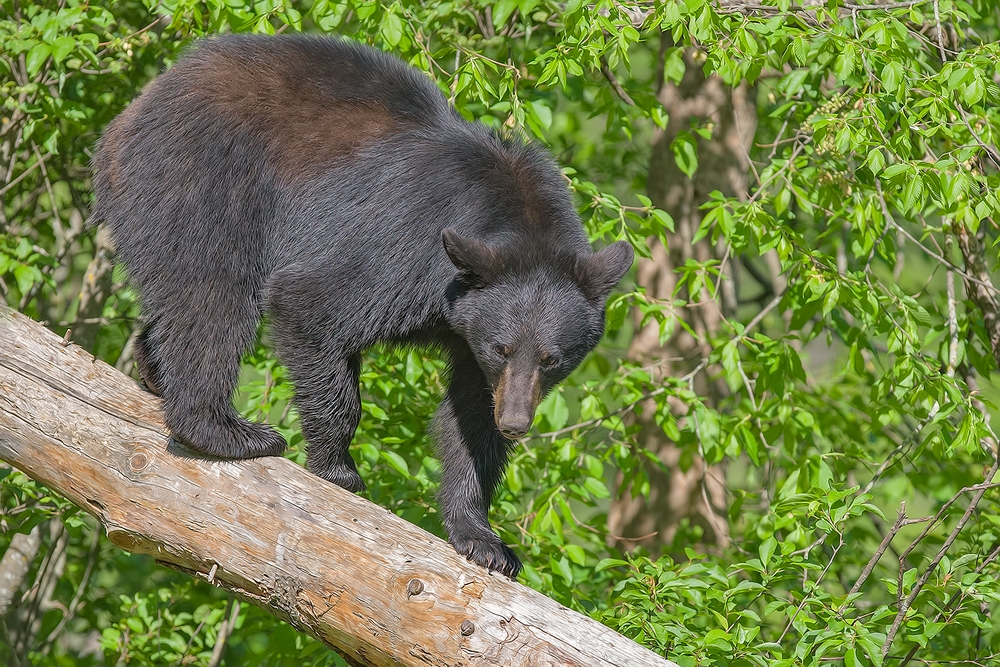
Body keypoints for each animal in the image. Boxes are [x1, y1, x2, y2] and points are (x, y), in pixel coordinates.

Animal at [92, 35, 624, 580]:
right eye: (503, 347)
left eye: (552, 358)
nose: (516, 421)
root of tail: (132, 115)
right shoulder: (405, 248)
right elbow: (310, 304)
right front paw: (338, 469)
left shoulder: (471, 332)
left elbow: (470, 416)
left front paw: (483, 539)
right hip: (201, 179)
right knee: (214, 296)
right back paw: (228, 432)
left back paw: (154, 371)